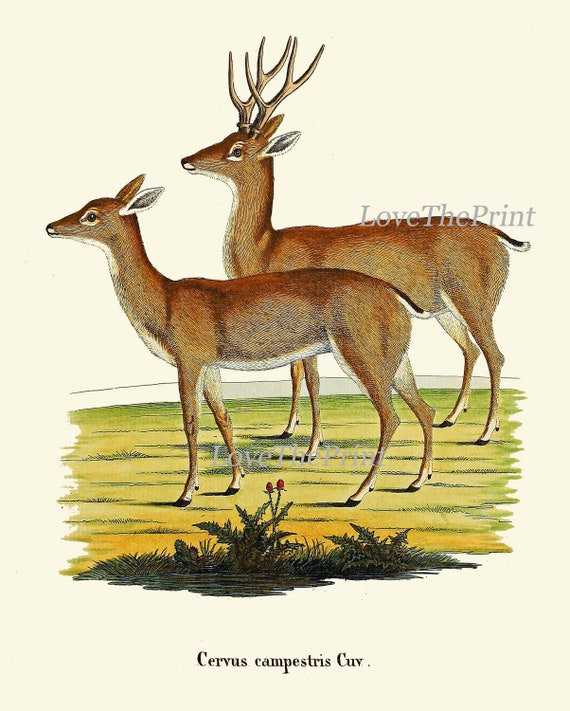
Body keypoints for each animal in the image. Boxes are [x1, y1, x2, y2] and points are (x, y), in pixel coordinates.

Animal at [46, 175, 436, 507]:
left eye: (92, 215)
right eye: (86, 205)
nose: (51, 226)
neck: (166, 300)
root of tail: (396, 296)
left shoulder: (189, 359)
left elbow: (190, 423)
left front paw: (185, 494)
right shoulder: (211, 365)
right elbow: (224, 417)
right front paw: (233, 483)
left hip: (361, 353)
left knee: (390, 417)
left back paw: (357, 493)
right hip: (395, 358)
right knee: (424, 408)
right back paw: (417, 481)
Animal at [181, 37, 531, 450]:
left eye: (237, 149)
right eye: (223, 137)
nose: (187, 160)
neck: (268, 247)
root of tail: (498, 236)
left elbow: (309, 378)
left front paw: (311, 443)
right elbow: (296, 373)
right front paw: (287, 428)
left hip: (474, 299)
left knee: (495, 353)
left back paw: (485, 433)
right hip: (444, 310)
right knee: (471, 349)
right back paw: (450, 419)